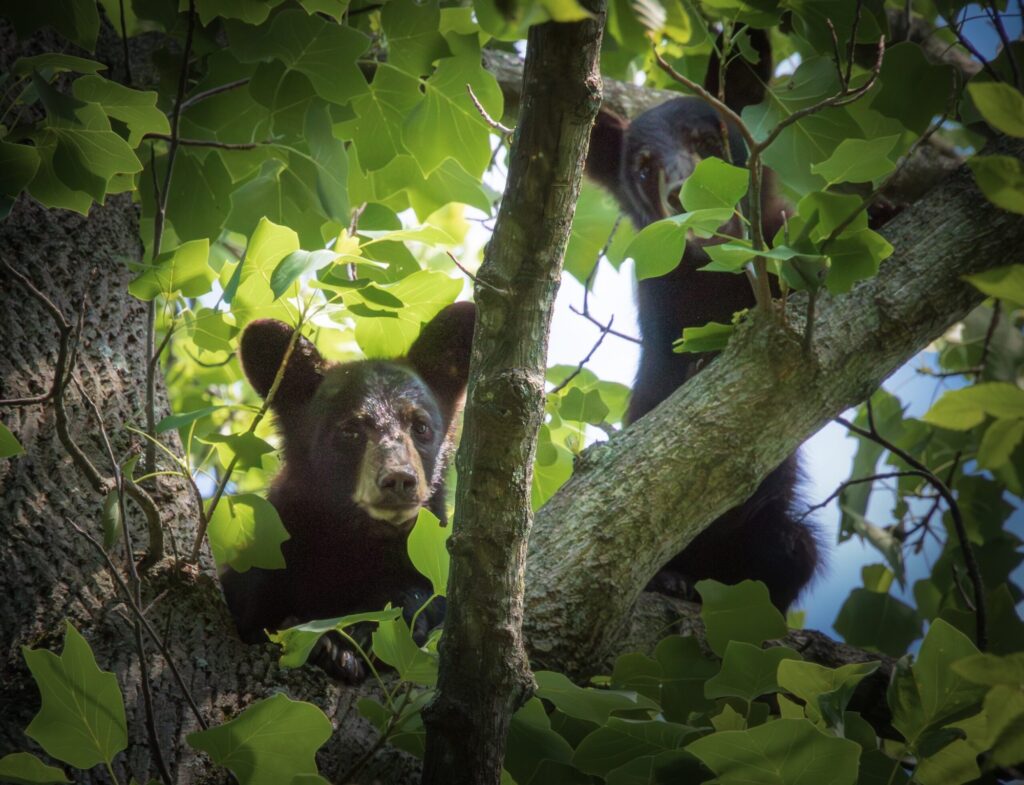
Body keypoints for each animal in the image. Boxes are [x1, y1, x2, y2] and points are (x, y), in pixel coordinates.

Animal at [220, 301, 475, 680]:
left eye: (420, 426)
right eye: (350, 430)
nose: (399, 479)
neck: (355, 542)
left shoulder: (428, 559)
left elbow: (426, 595)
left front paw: (369, 632)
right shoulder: (273, 548)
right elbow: (252, 599)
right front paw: (324, 644)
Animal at [585, 27, 821, 611]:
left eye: (708, 142)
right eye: (643, 168)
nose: (683, 196)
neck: (720, 276)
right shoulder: (664, 308)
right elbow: (661, 384)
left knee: (793, 548)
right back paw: (669, 579)